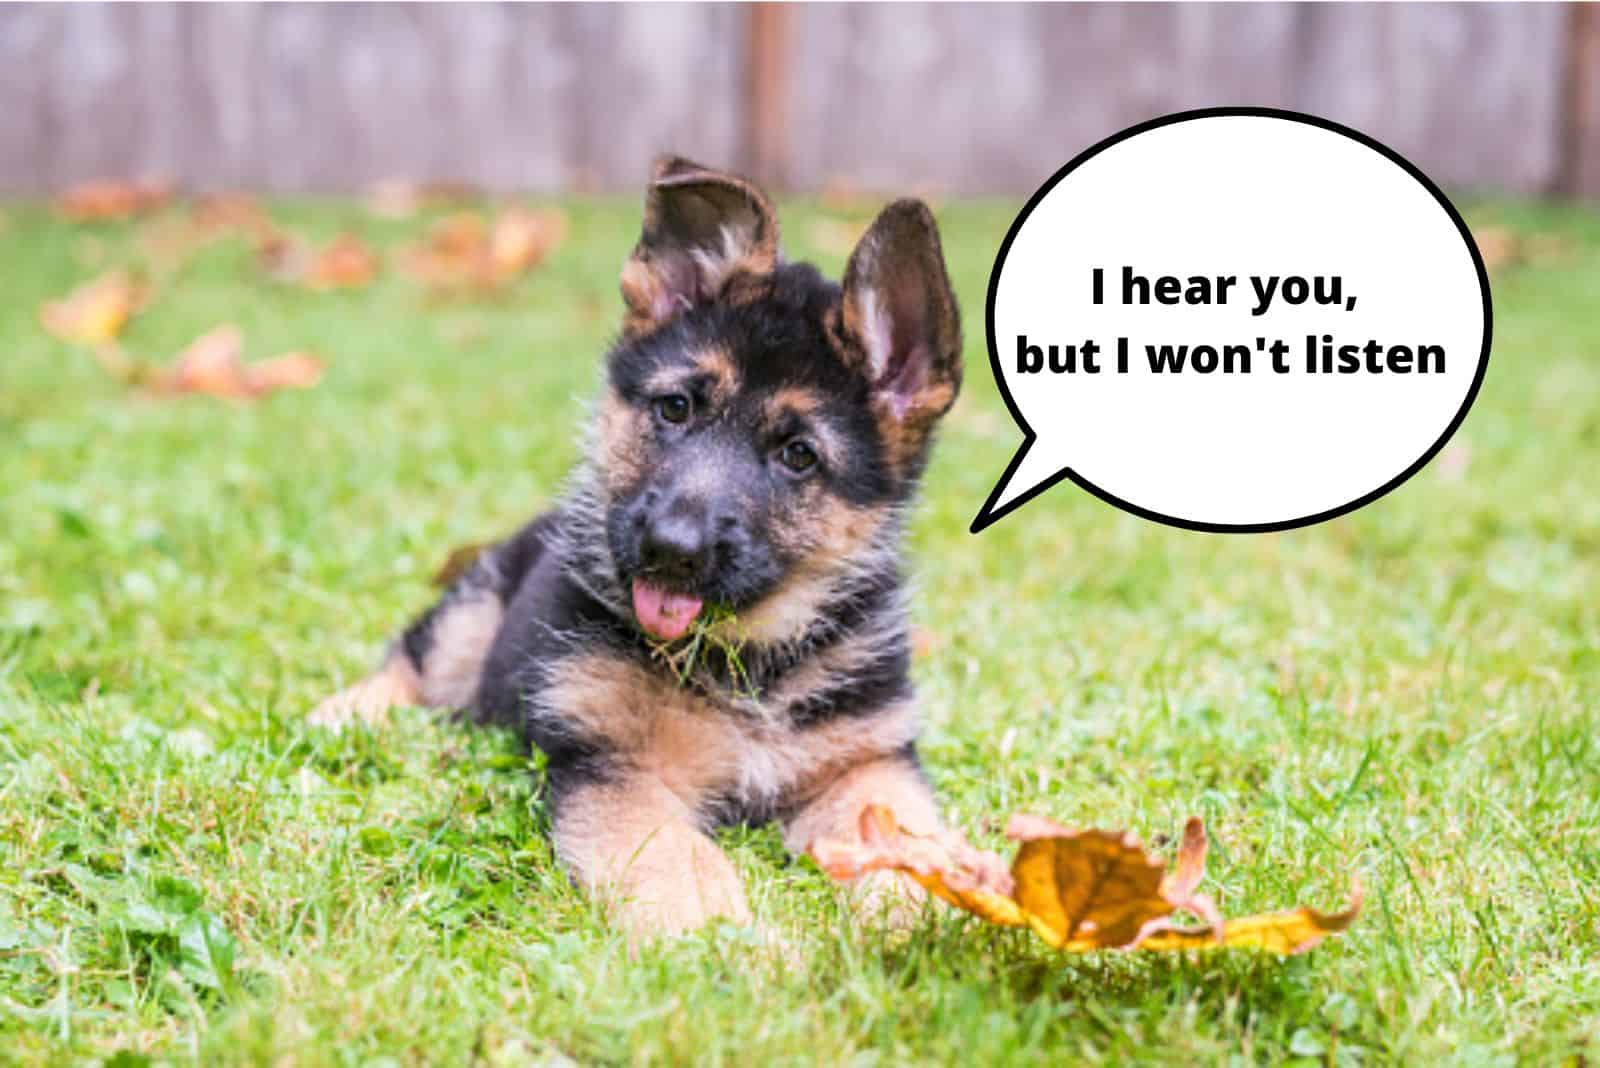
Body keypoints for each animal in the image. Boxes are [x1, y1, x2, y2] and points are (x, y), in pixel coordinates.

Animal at [312, 156, 960, 933]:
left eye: (798, 455)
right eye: (675, 408)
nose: (669, 548)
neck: (747, 664)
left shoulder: (867, 762)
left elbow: (905, 839)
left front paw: (931, 916)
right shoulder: (615, 766)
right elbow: (676, 860)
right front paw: (727, 942)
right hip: (474, 611)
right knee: (415, 662)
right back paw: (343, 716)